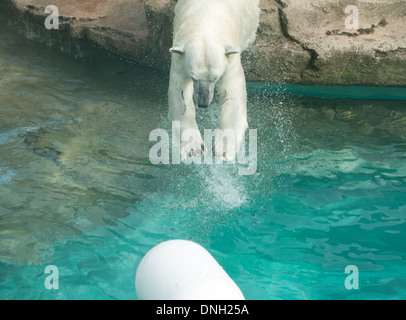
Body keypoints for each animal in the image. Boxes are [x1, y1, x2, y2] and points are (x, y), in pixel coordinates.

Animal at [168, 0, 260, 161]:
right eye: (193, 77)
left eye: (216, 77)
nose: (203, 103)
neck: (206, 19)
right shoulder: (179, 58)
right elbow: (179, 93)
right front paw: (194, 149)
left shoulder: (230, 59)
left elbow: (232, 93)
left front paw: (222, 150)